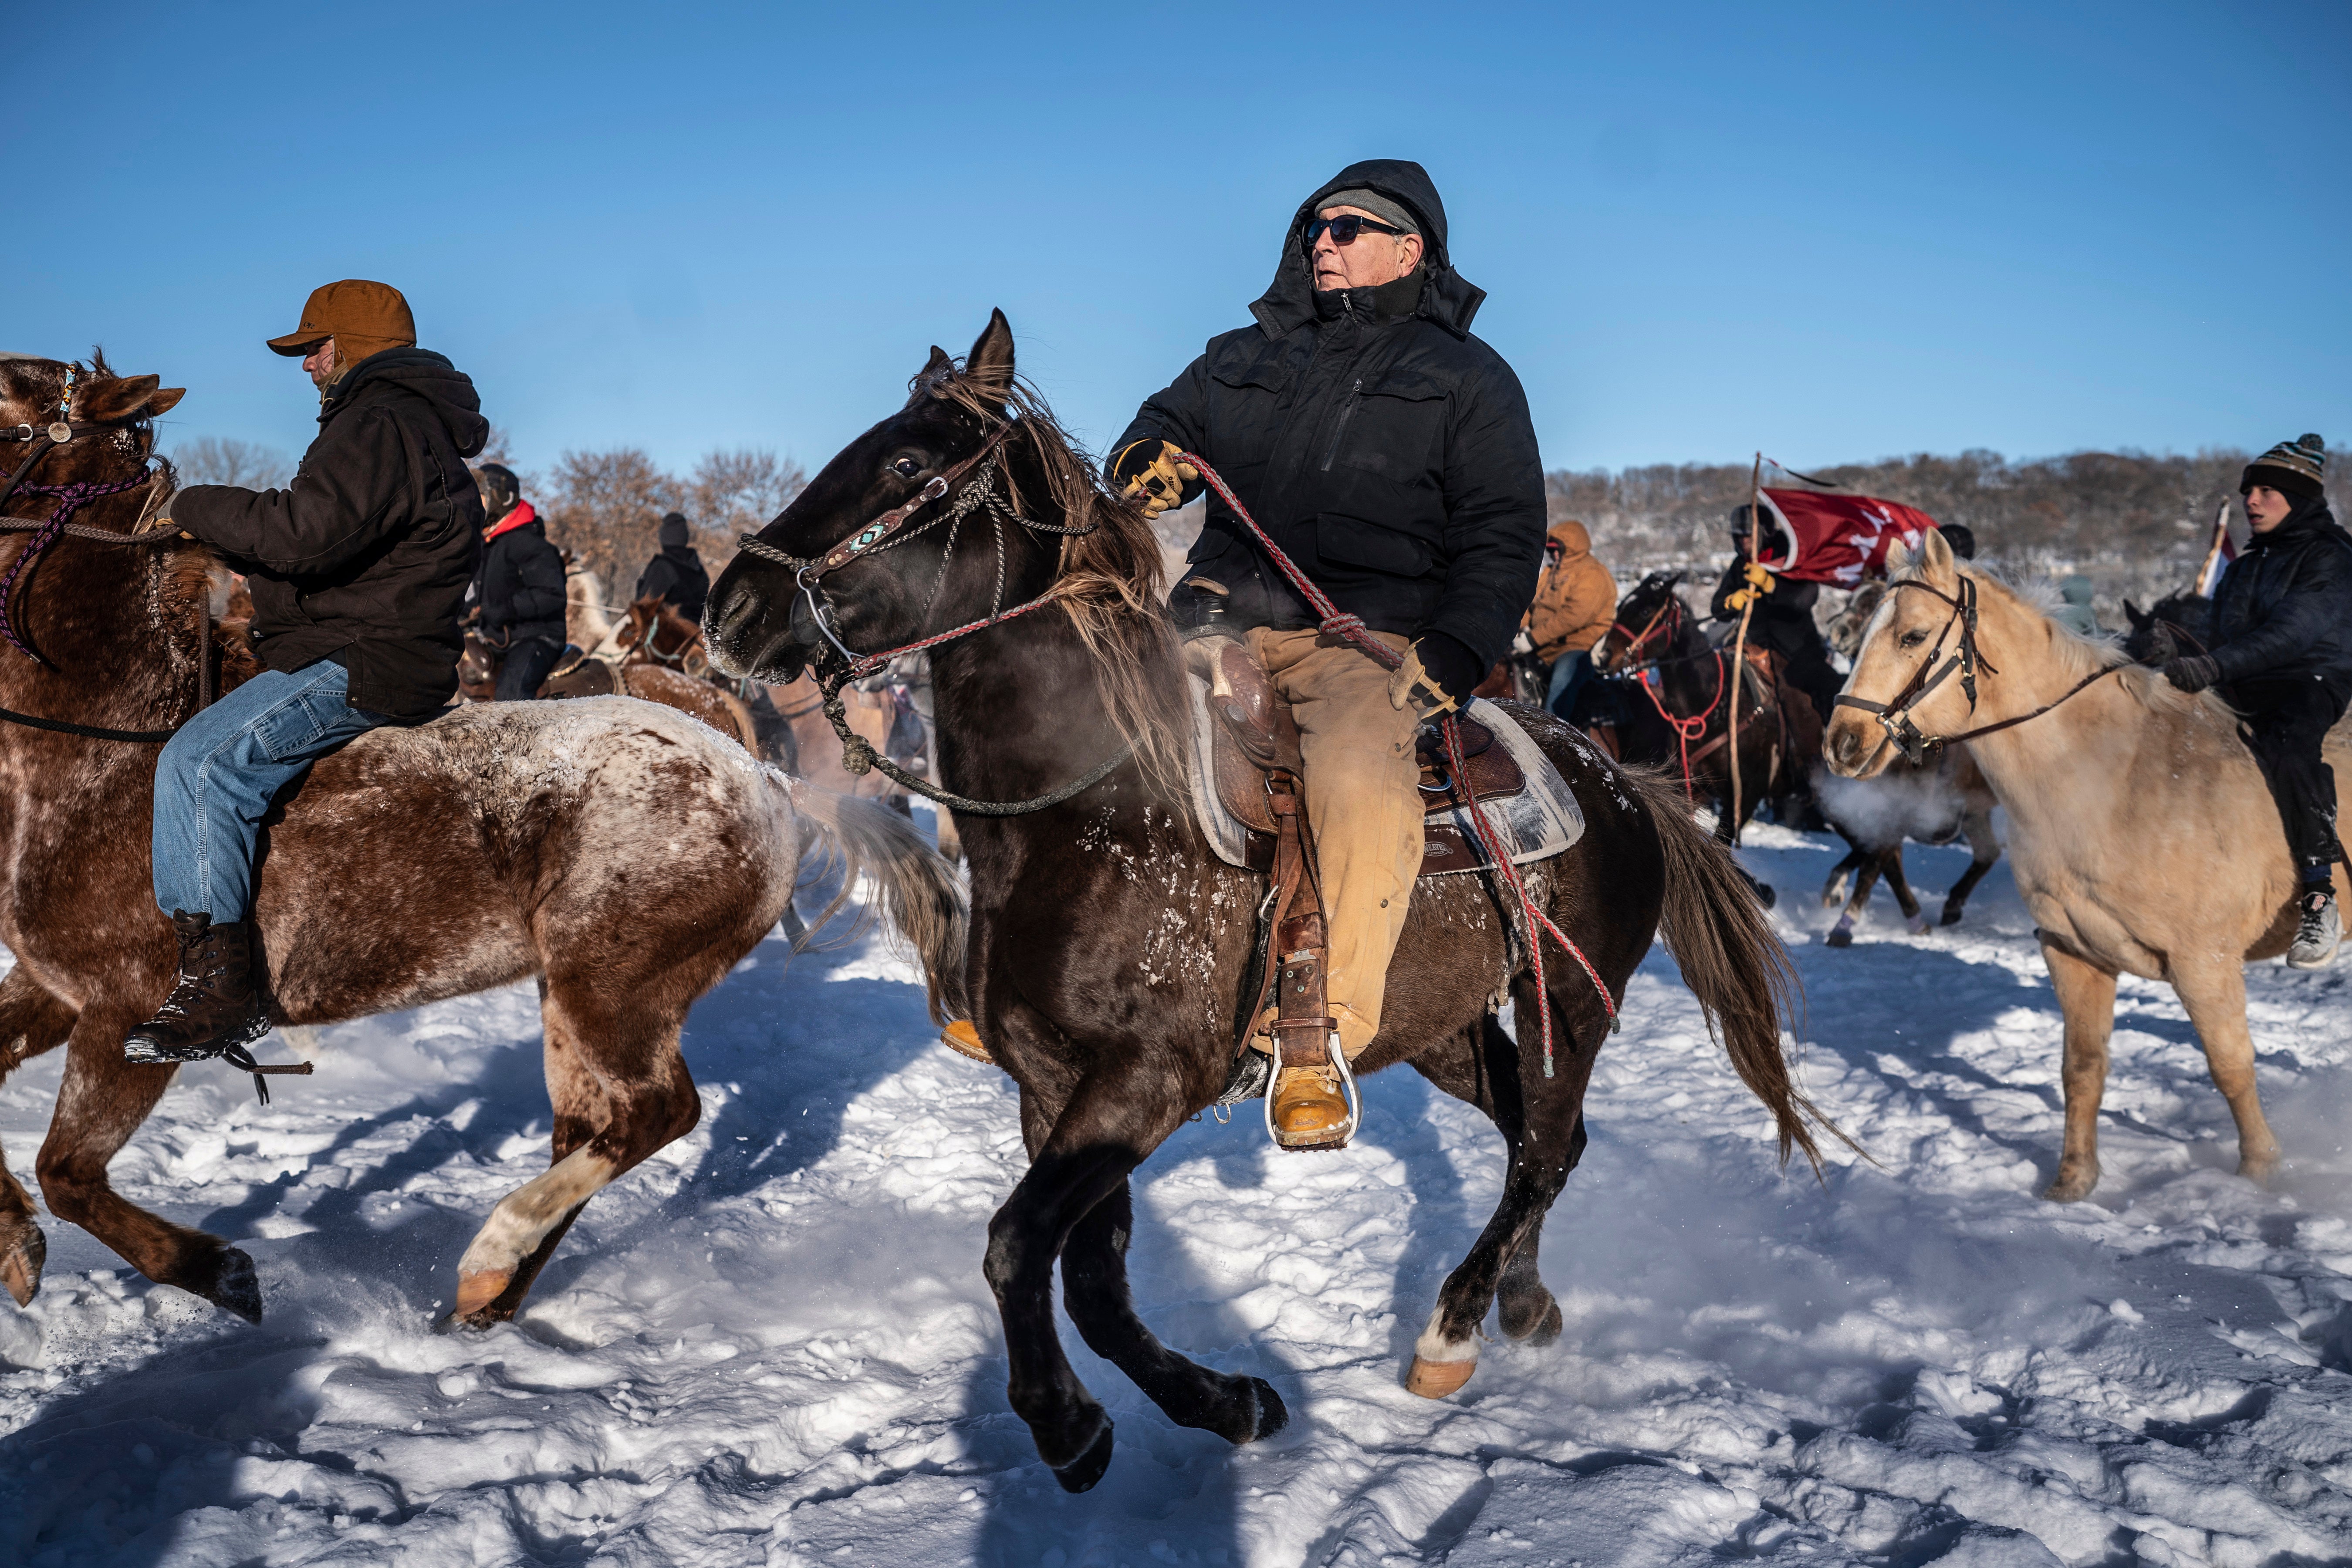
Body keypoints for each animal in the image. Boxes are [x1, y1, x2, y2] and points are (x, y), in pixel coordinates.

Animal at [0, 352, 964, 1326]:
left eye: (11, 406)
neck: (109, 737)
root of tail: (763, 777)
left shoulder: (124, 1012)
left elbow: (69, 1174)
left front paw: (218, 1270)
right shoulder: (55, 989)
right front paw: (14, 1241)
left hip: (616, 987)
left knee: (655, 1115)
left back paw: (494, 1249)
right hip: (574, 995)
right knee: (590, 1127)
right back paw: (494, 1293)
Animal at [696, 310, 1835, 1495]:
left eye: (909, 466)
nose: (729, 607)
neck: (1095, 802)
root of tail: (1625, 784)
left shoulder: (1144, 1083)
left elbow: (1017, 1247)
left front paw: (1064, 1423)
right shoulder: (1054, 1090)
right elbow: (1092, 1279)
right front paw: (1225, 1402)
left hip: (1568, 998)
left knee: (1541, 1150)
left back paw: (1452, 1331)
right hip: (1446, 1029)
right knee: (1546, 1141)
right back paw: (1521, 1303)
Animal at [1825, 526, 2324, 1203]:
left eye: (1913, 636)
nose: (1841, 742)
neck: (2110, 778)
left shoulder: (2207, 962)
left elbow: (2230, 1064)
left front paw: (2259, 1170)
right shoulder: (2073, 952)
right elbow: (2082, 1068)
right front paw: (2073, 1181)